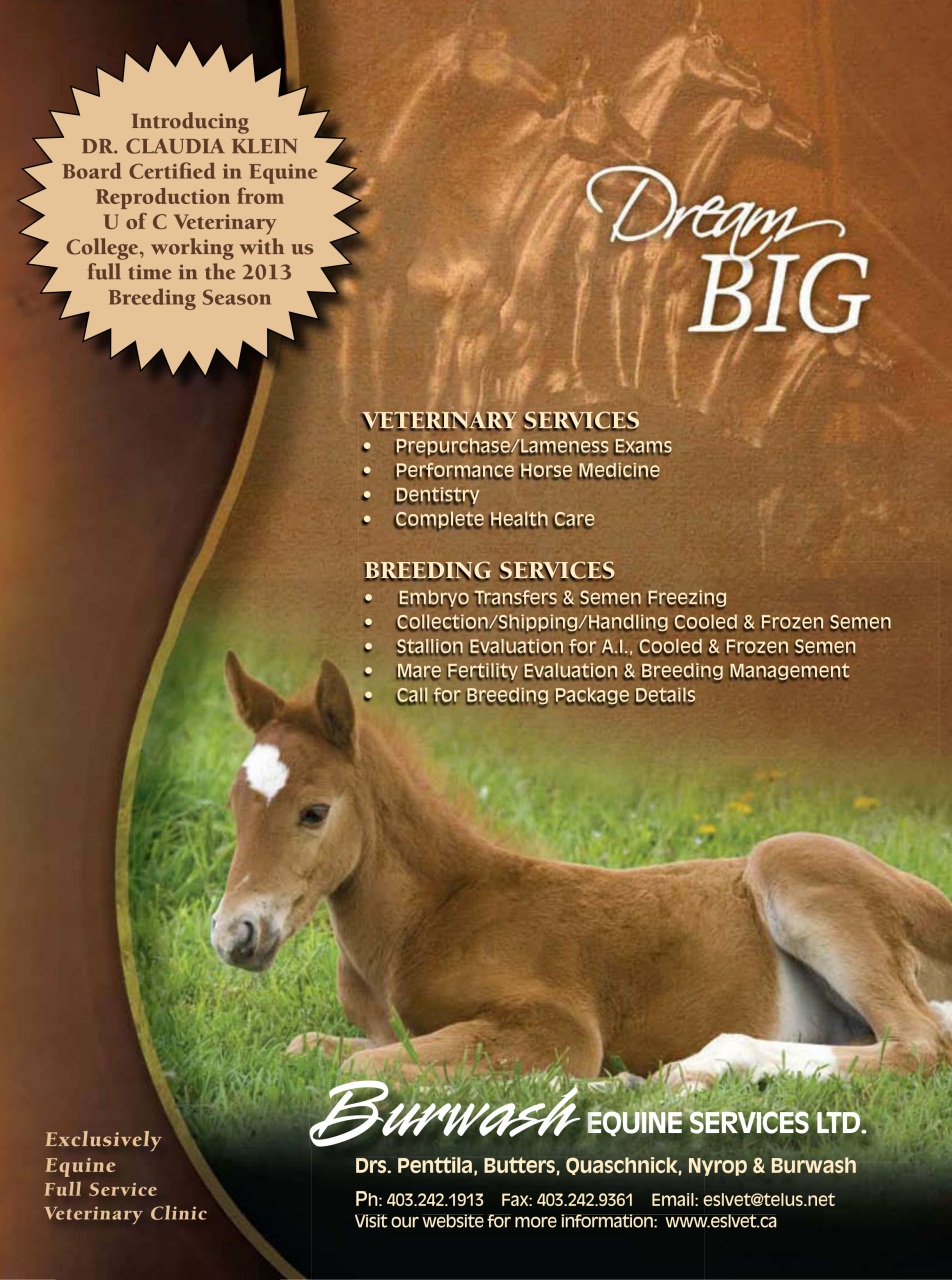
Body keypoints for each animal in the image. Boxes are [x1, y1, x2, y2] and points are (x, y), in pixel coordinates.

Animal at [211, 655, 952, 1089]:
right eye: (234, 805)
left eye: (314, 811)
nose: (233, 934)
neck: (428, 918)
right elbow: (312, 1046)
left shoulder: (558, 1026)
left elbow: (359, 1064)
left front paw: (592, 1085)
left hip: (794, 864)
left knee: (920, 1043)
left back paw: (695, 1069)